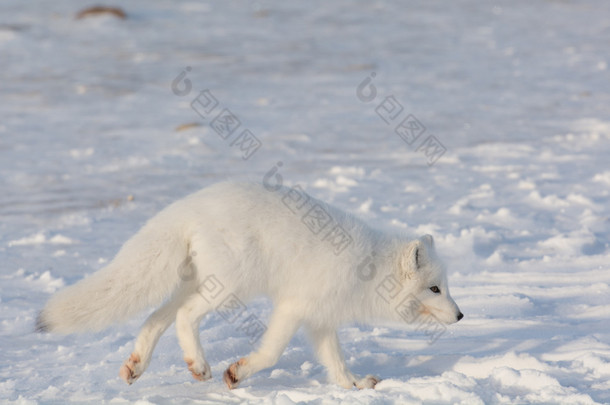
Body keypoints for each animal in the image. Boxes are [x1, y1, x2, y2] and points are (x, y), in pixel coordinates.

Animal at [38, 181, 460, 388]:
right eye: (435, 289)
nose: (460, 316)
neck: (369, 266)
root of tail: (189, 205)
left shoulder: (320, 319)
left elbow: (336, 363)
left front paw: (355, 385)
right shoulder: (294, 307)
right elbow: (271, 353)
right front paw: (237, 374)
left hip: (199, 282)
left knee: (155, 319)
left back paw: (137, 366)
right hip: (229, 287)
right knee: (184, 317)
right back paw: (199, 366)